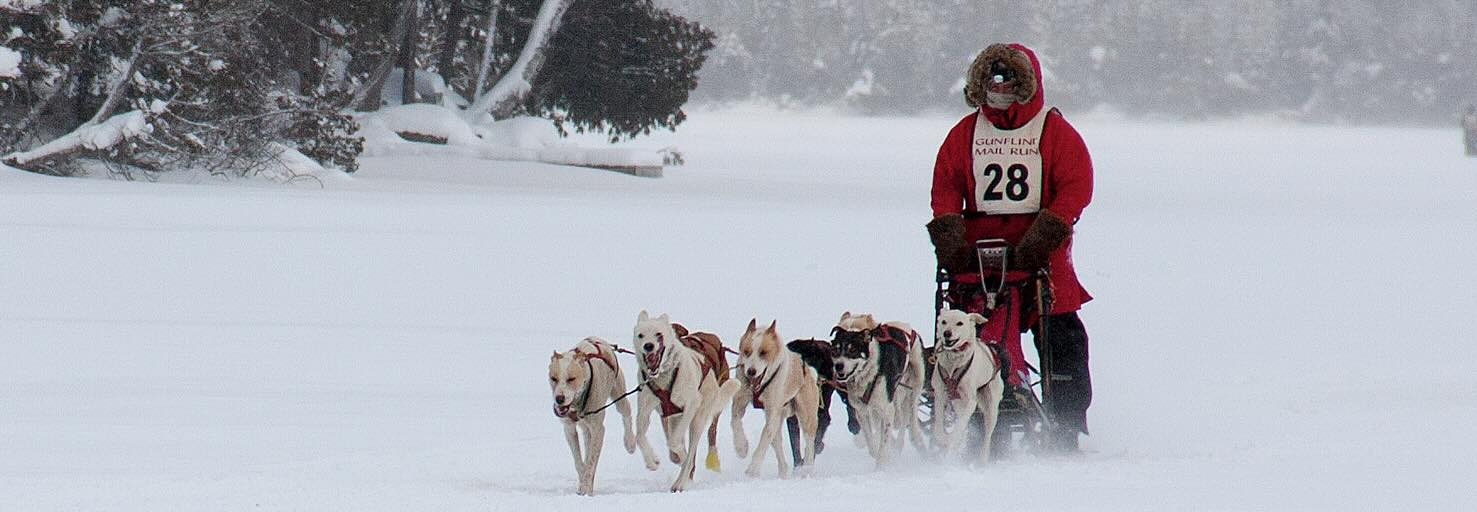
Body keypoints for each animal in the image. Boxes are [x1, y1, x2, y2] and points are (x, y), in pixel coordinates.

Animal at [632, 312, 744, 492]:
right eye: (641, 335)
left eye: (658, 334)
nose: (648, 346)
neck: (664, 376)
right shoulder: (645, 411)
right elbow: (639, 436)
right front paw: (652, 461)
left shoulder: (691, 405)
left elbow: (675, 442)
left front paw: (682, 456)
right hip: (672, 418)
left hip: (698, 419)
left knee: (691, 451)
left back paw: (681, 480)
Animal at [732, 318, 827, 478]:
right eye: (747, 352)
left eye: (763, 352)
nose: (751, 371)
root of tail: (808, 370)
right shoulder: (740, 400)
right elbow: (735, 422)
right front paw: (741, 447)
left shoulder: (772, 410)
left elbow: (764, 439)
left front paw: (753, 469)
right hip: (779, 417)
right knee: (776, 441)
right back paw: (783, 470)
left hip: (806, 414)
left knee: (809, 442)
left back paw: (806, 469)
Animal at [833, 311, 921, 466]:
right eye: (836, 349)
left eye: (852, 349)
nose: (838, 366)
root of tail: (902, 325)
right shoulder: (862, 411)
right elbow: (871, 440)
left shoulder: (887, 409)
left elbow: (883, 444)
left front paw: (881, 465)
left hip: (916, 379)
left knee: (910, 411)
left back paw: (913, 437)